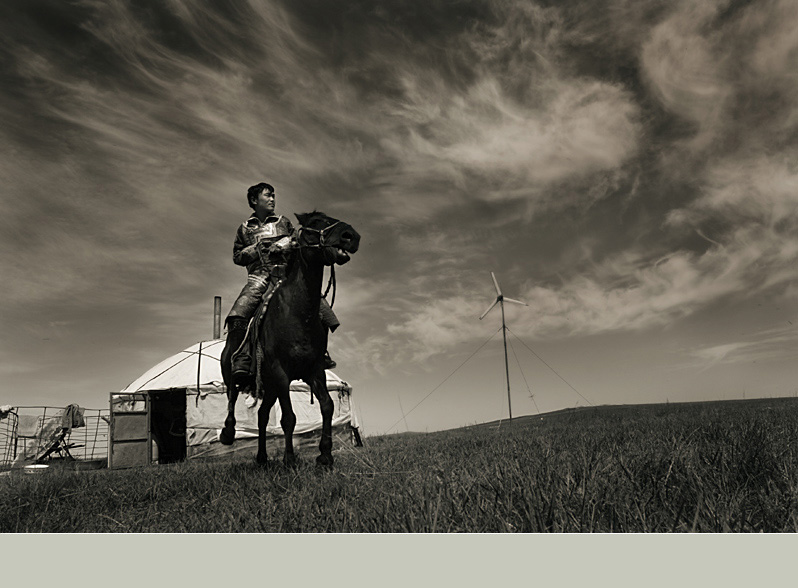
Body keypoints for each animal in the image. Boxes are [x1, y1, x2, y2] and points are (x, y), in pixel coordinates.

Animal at [216, 212, 360, 468]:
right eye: (314, 223)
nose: (350, 236)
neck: (298, 313)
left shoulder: (314, 371)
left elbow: (327, 406)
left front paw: (325, 456)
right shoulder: (280, 372)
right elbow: (288, 418)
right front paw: (289, 460)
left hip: (270, 387)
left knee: (262, 415)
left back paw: (262, 458)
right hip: (232, 374)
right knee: (232, 398)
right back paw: (228, 433)